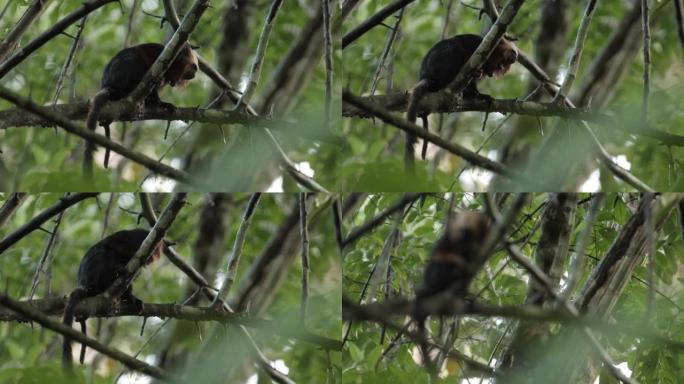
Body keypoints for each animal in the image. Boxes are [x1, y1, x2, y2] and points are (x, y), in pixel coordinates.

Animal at [61, 230, 163, 374]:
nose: (152, 258)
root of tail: (87, 286)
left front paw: (131, 298)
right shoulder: (130, 238)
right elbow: (110, 245)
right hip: (95, 277)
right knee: (105, 252)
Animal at [84, 42, 199, 176]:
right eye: (194, 67)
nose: (194, 73)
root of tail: (108, 85)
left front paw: (157, 103)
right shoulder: (160, 55)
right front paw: (159, 102)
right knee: (136, 59)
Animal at [404, 35, 516, 166]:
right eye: (502, 64)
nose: (492, 74)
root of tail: (426, 76)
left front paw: (479, 95)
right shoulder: (479, 45)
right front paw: (475, 90)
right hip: (439, 68)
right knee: (454, 49)